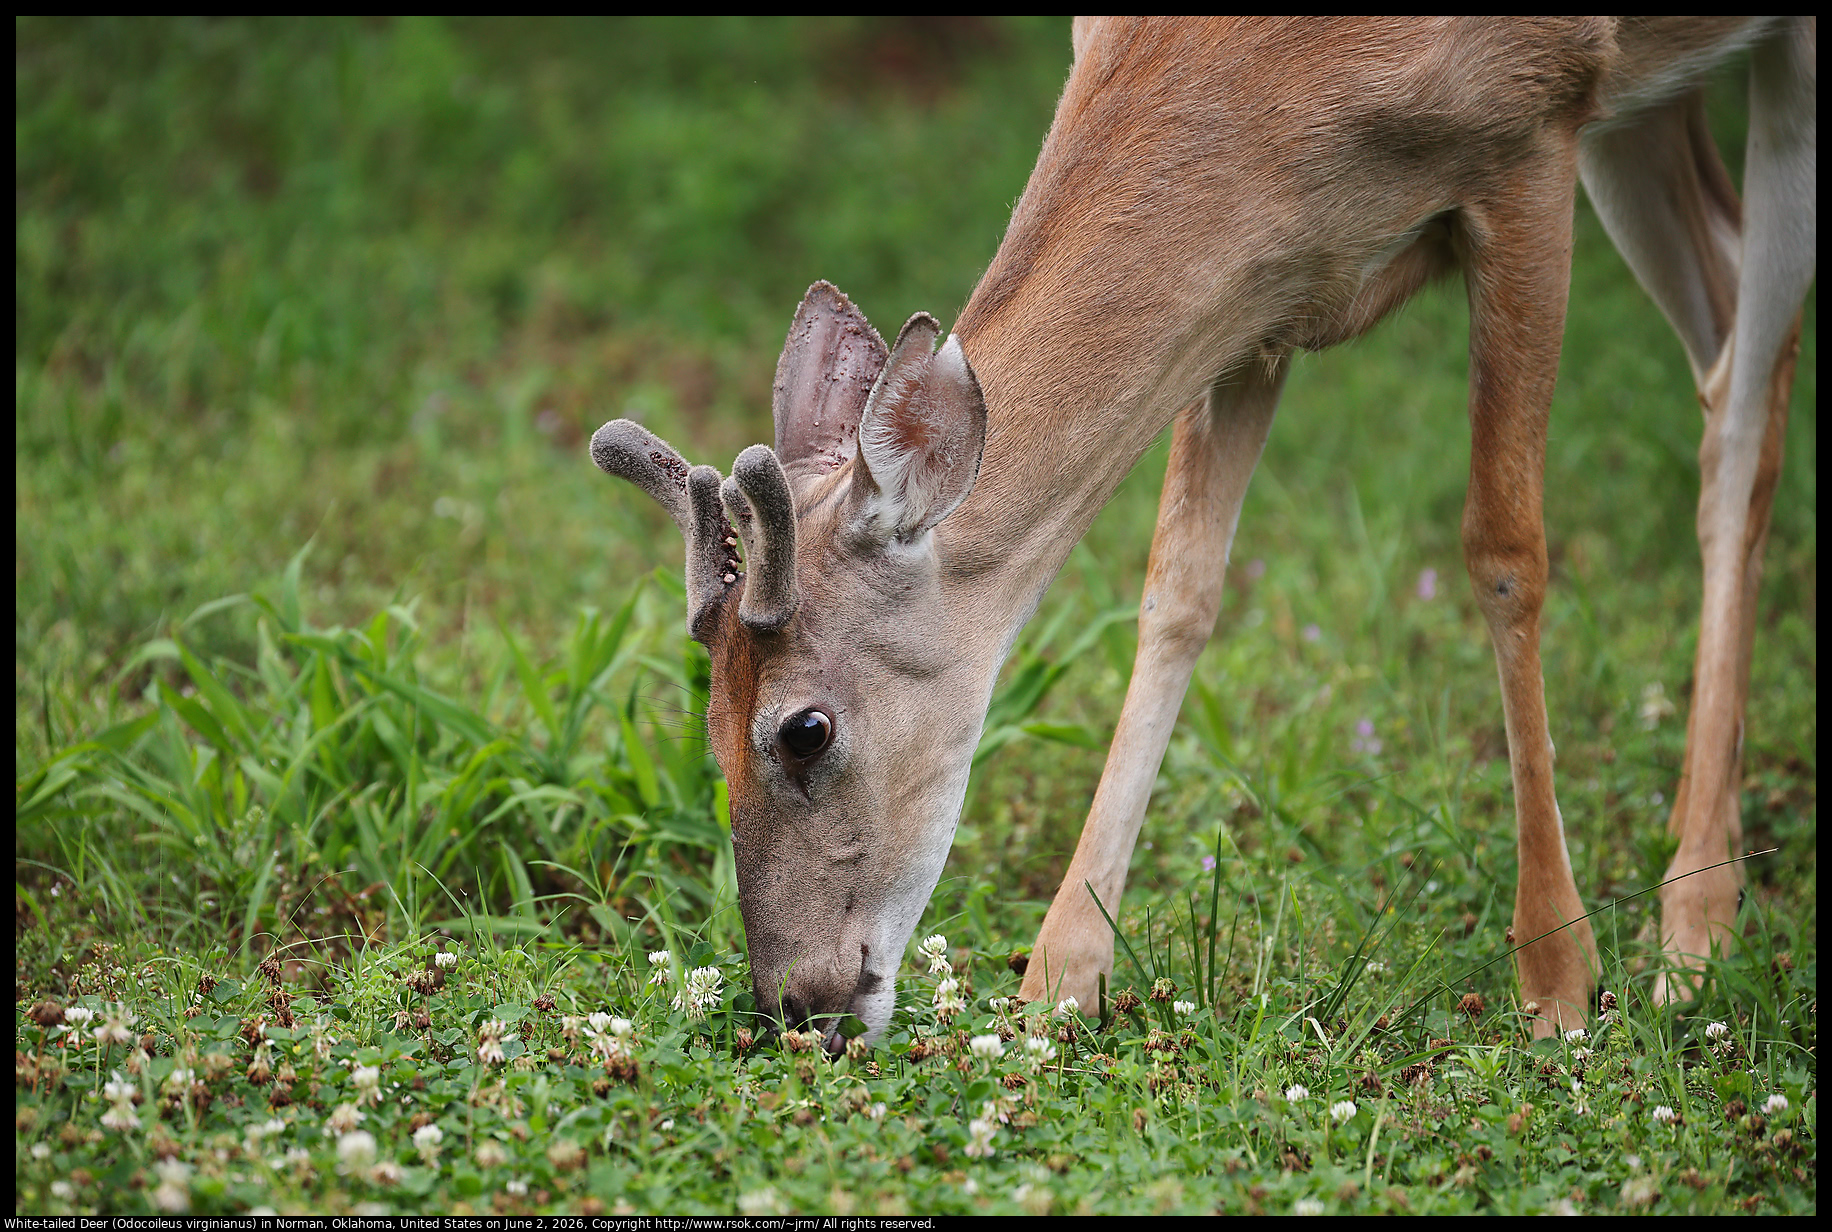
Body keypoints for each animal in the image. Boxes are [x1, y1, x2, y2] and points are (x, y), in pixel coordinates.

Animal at [590, 17, 1814, 1044]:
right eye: (705, 724)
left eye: (804, 730)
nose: (793, 1004)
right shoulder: (1262, 296)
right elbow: (1177, 587)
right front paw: (1058, 980)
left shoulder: (1533, 126)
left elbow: (1504, 552)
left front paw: (1557, 978)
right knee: (1721, 323)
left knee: (1741, 420)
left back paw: (1694, 922)